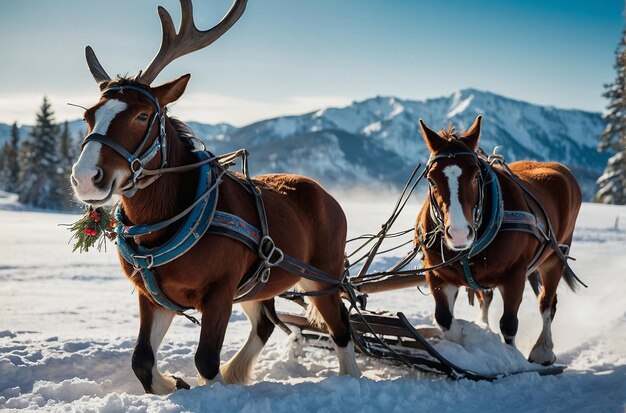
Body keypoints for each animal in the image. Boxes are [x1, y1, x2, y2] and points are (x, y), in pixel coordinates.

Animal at [70, 0, 358, 394]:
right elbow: (142, 361)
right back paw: (238, 371)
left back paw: (350, 378)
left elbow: (205, 360)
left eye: (143, 115)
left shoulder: (220, 290)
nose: (86, 178)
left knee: (341, 327)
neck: (162, 223)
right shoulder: (152, 295)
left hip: (324, 276)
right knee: (265, 323)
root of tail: (328, 197)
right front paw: (175, 383)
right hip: (259, 285)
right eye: (89, 115)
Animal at [414, 115, 580, 364]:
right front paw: (471, 335)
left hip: (556, 257)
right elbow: (444, 319)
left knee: (547, 304)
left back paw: (543, 350)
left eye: (476, 175)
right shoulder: (437, 274)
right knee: (486, 297)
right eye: (431, 179)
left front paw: (511, 357)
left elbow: (509, 324)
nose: (460, 234)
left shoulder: (515, 275)